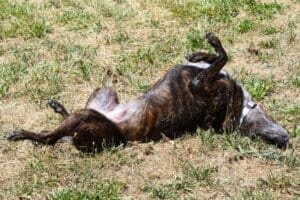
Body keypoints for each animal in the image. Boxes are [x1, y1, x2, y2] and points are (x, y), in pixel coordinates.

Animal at [5, 32, 290, 152]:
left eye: (256, 136)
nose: (285, 140)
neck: (237, 113)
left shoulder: (200, 85)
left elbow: (222, 57)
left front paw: (212, 46)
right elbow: (216, 60)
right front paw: (199, 53)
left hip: (88, 118)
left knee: (50, 138)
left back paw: (24, 134)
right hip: (103, 91)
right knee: (64, 125)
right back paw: (57, 108)